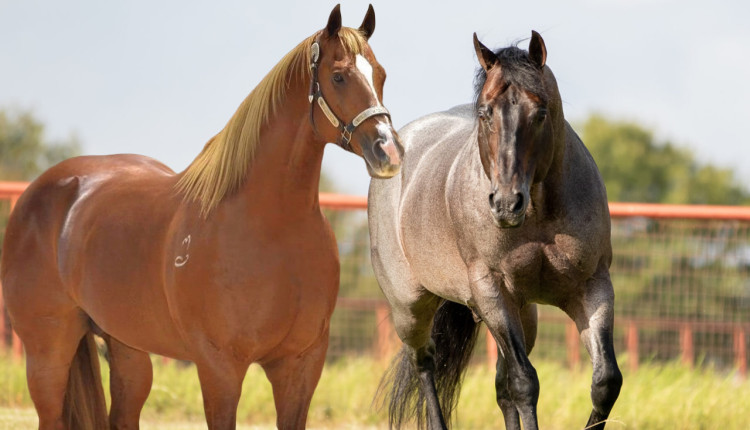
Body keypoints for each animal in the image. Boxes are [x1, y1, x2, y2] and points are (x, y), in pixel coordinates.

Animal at [2, 4, 402, 430]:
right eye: (339, 76)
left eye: (381, 75)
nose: (389, 151)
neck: (272, 227)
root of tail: (39, 192)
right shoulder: (219, 367)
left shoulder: (301, 364)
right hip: (48, 353)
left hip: (127, 348)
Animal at [370, 31, 624, 428]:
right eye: (485, 112)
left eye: (541, 112)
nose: (506, 203)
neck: (539, 214)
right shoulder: (492, 291)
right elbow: (524, 383)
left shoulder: (591, 286)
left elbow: (605, 382)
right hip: (411, 308)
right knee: (425, 365)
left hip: (522, 313)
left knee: (500, 386)